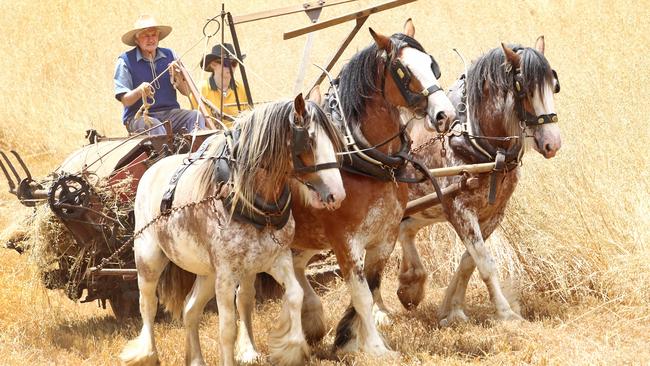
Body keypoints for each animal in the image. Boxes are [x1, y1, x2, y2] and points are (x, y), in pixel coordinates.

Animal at [119, 95, 346, 366]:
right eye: (309, 141)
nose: (337, 194)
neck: (248, 201)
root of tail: (151, 168)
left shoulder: (276, 259)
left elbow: (294, 294)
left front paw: (290, 349)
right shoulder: (226, 274)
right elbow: (227, 328)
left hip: (207, 273)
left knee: (190, 310)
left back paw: (196, 359)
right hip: (149, 259)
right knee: (148, 304)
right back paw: (148, 354)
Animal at [392, 35, 560, 324]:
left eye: (554, 85)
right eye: (523, 89)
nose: (553, 142)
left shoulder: (493, 212)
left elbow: (468, 261)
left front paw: (453, 309)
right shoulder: (459, 209)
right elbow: (485, 263)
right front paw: (506, 313)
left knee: (406, 230)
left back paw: (410, 284)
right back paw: (381, 310)